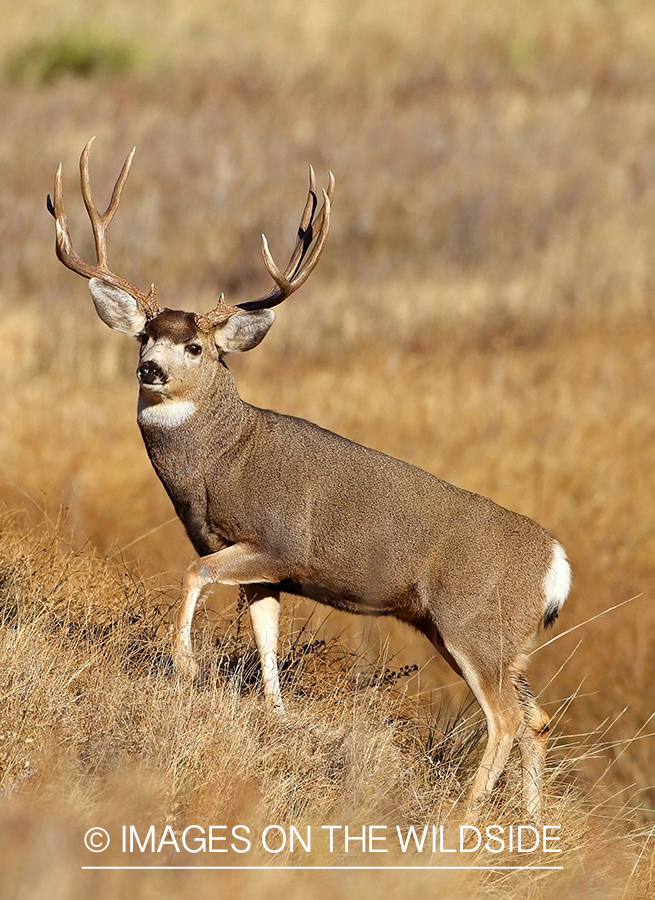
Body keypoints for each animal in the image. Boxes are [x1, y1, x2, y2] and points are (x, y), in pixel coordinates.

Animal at [48, 137, 572, 828]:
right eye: (145, 336)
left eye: (196, 348)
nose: (150, 369)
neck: (223, 461)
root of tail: (556, 565)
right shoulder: (262, 570)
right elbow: (267, 642)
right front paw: (272, 715)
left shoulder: (276, 543)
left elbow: (193, 574)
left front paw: (184, 665)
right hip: (494, 637)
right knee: (538, 719)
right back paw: (533, 826)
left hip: (472, 621)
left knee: (509, 719)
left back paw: (461, 815)